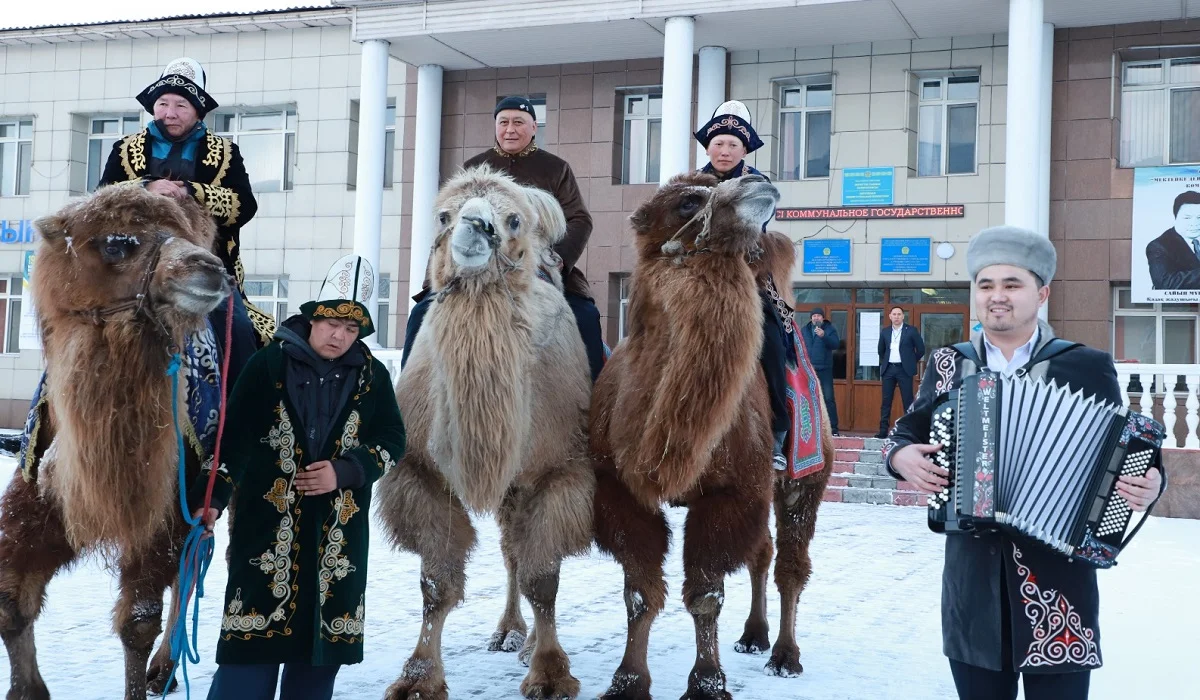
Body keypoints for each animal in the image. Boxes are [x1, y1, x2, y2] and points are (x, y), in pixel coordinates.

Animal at [0, 184, 229, 700]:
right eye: (116, 243)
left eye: (190, 236)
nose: (210, 268)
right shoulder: (40, 493)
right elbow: (10, 599)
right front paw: (27, 690)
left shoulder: (164, 507)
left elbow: (137, 623)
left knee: (190, 569)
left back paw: (165, 670)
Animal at [376, 165, 592, 700]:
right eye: (443, 215)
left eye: (512, 219)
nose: (477, 225)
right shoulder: (421, 474)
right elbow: (436, 585)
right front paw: (417, 678)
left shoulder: (558, 471)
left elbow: (544, 578)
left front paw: (550, 674)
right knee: (511, 552)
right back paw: (508, 633)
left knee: (525, 554)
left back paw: (525, 643)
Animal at [590, 171, 835, 700]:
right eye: (687, 201)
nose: (758, 180)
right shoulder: (618, 491)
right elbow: (639, 592)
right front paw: (627, 680)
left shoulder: (731, 491)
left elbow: (705, 593)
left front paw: (705, 682)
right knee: (762, 553)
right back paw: (753, 636)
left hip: (806, 477)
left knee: (790, 564)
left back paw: (784, 655)